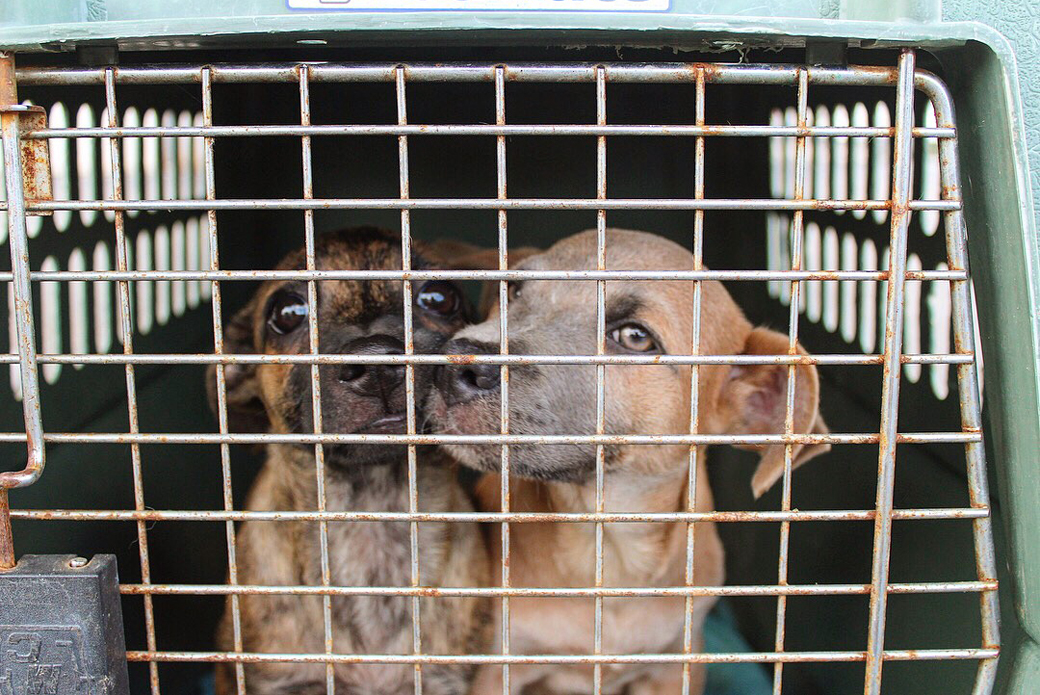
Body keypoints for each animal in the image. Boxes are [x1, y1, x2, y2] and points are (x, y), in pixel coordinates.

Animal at [424, 228, 827, 695]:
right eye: (515, 291)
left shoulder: (677, 663)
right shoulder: (497, 664)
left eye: (635, 337)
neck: (608, 548)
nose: (453, 368)